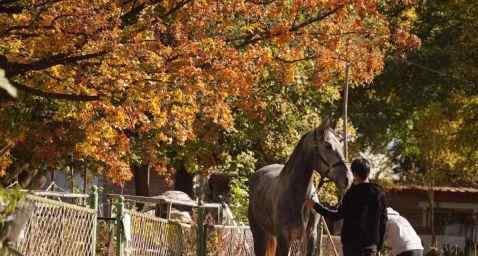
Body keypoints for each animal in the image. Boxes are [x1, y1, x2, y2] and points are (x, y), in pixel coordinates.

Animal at [248, 122, 352, 256]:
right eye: (328, 146)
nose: (348, 178)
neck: (298, 197)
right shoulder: (283, 237)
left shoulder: (311, 236)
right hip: (259, 234)